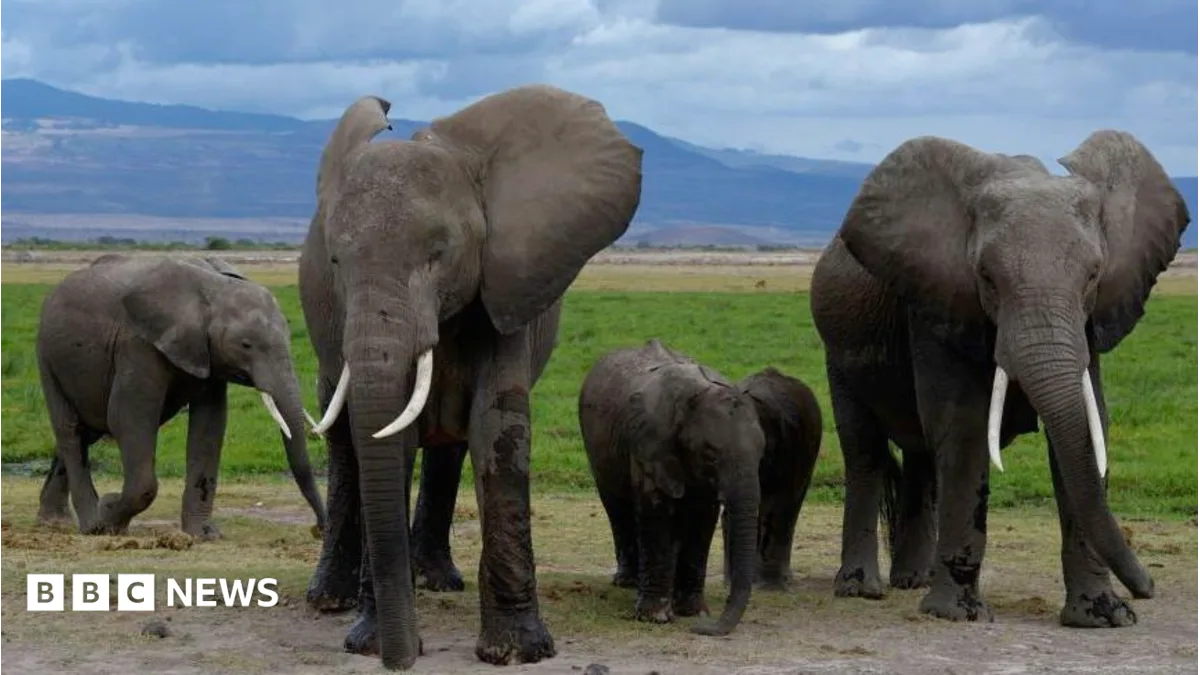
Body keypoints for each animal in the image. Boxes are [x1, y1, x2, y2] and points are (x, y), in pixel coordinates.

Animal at [35, 253, 327, 538]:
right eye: (246, 345)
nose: (319, 529)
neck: (213, 289)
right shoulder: (138, 345)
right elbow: (128, 418)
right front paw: (109, 516)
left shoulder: (206, 355)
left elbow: (209, 426)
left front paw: (203, 535)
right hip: (47, 358)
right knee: (71, 431)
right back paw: (91, 524)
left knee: (86, 432)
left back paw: (55, 521)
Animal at [296, 84, 642, 670]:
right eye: (336, 262)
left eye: (439, 253)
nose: (401, 659)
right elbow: (389, 439)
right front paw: (368, 643)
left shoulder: (504, 288)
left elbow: (496, 430)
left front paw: (519, 652)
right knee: (345, 444)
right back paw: (330, 601)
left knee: (448, 447)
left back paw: (435, 581)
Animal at [577, 339, 765, 637]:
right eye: (711, 455)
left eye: (762, 453)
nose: (703, 628)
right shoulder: (649, 444)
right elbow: (658, 513)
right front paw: (656, 617)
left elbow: (702, 518)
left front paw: (693, 613)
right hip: (595, 445)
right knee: (617, 507)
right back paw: (627, 582)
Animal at [809, 130, 1190, 627]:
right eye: (987, 277)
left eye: (1093, 276)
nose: (1148, 589)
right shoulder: (938, 302)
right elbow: (964, 428)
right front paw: (958, 615)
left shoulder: (1087, 324)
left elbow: (1087, 431)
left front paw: (1104, 617)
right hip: (838, 351)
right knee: (865, 452)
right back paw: (862, 590)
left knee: (922, 457)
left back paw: (914, 580)